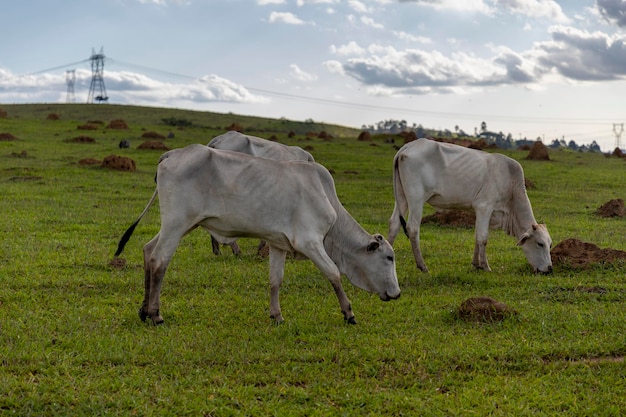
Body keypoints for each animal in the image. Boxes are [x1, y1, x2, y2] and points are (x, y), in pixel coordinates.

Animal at [115, 144, 400, 324]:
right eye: (389, 258)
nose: (397, 294)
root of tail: (171, 154)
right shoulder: (309, 242)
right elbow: (334, 274)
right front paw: (348, 313)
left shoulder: (278, 245)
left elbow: (275, 280)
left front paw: (277, 316)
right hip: (176, 224)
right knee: (159, 261)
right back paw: (156, 314)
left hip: (180, 225)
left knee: (148, 250)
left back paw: (143, 310)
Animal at [388, 138, 552, 272]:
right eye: (540, 244)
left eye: (550, 244)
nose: (549, 269)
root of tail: (407, 147)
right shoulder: (484, 207)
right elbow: (483, 238)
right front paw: (485, 266)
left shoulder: (480, 211)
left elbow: (476, 236)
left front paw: (475, 264)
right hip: (416, 199)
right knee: (412, 228)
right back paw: (422, 265)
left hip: (401, 198)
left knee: (394, 224)